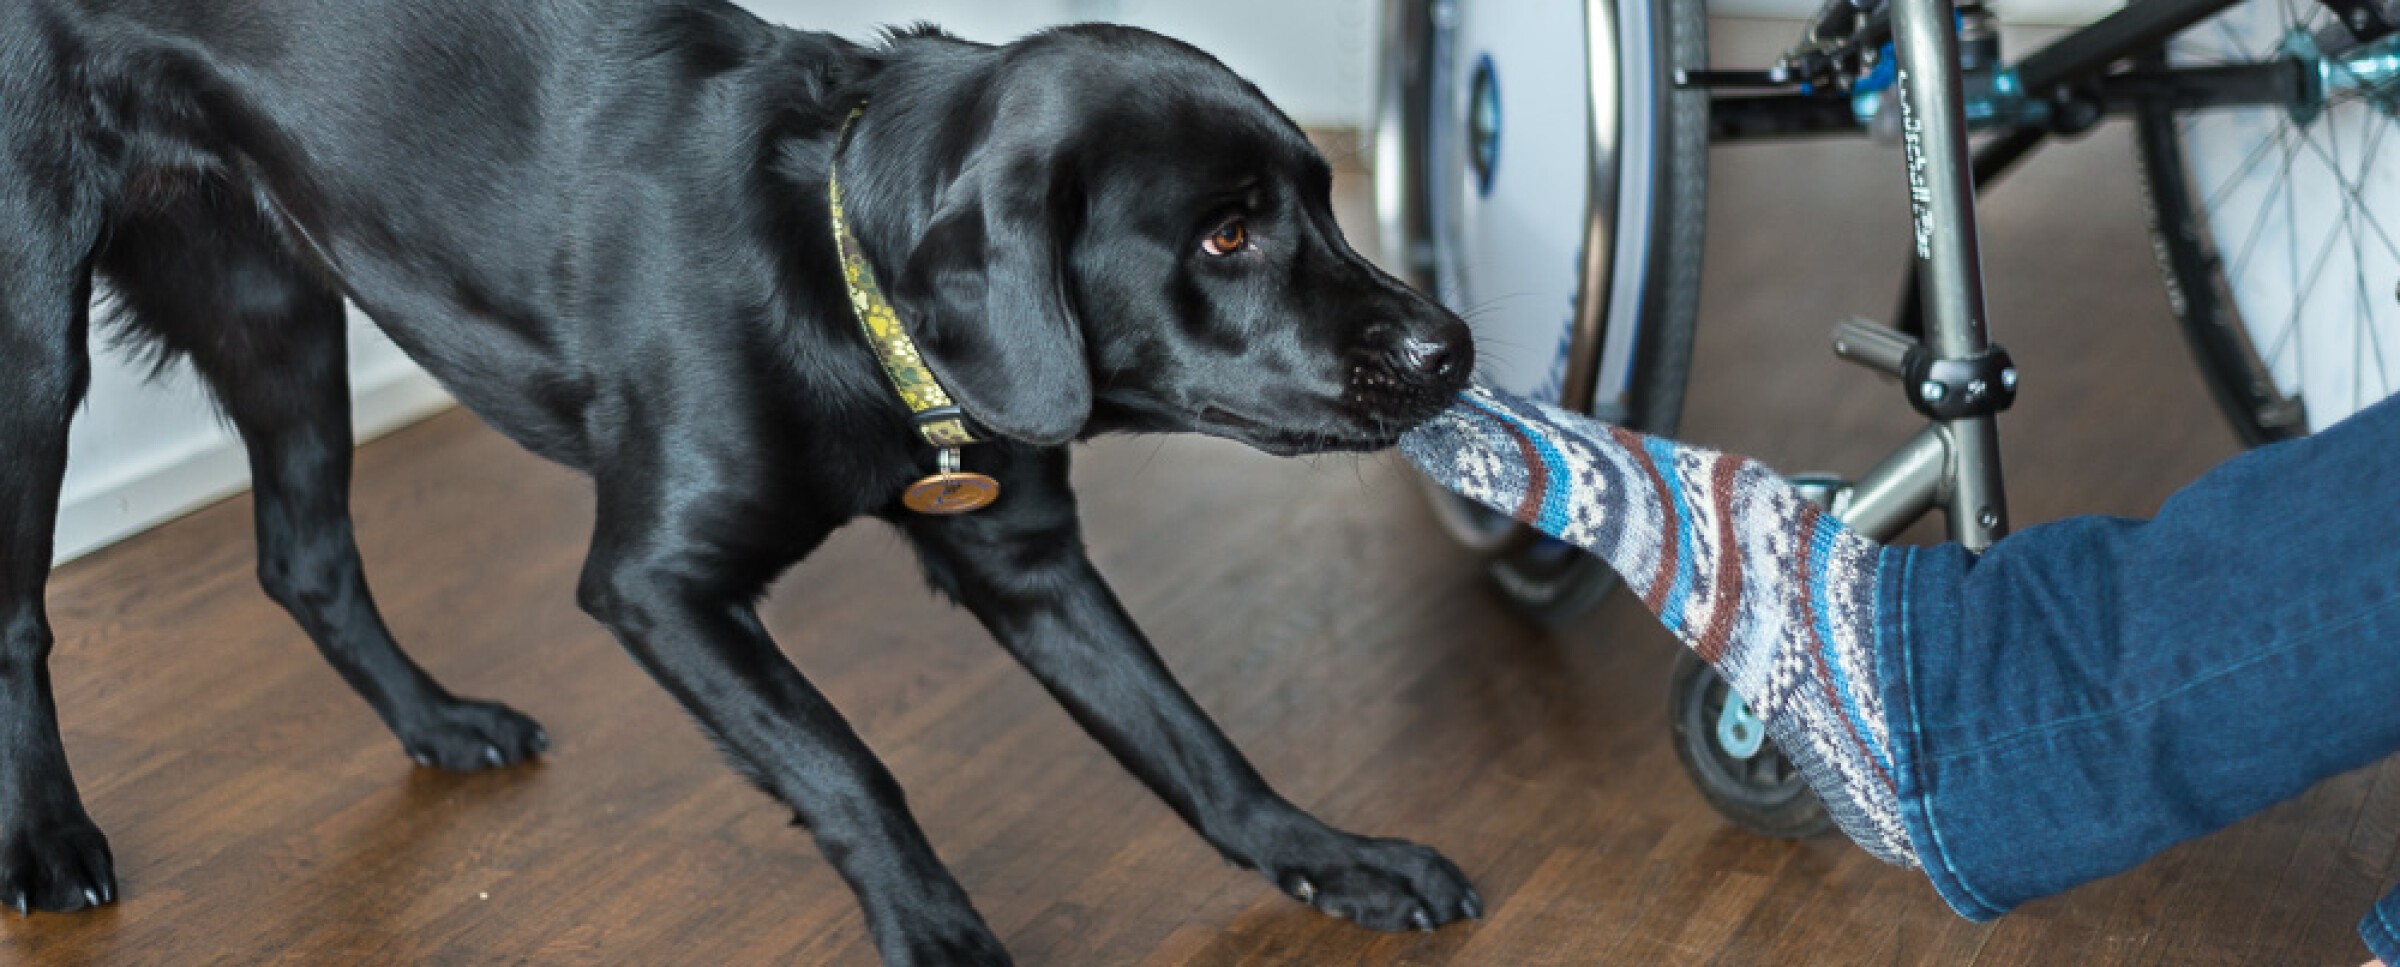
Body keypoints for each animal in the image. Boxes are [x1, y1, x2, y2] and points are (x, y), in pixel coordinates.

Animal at [4, 0, 1478, 959]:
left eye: (1321, 198)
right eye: (1224, 235)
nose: (1451, 348)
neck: (831, 260)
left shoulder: (1027, 557)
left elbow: (1195, 742)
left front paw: (1333, 858)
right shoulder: (658, 587)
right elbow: (851, 769)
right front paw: (940, 931)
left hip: (278, 312)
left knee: (304, 558)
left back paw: (440, 724)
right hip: (36, 352)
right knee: (24, 617)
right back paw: (51, 842)